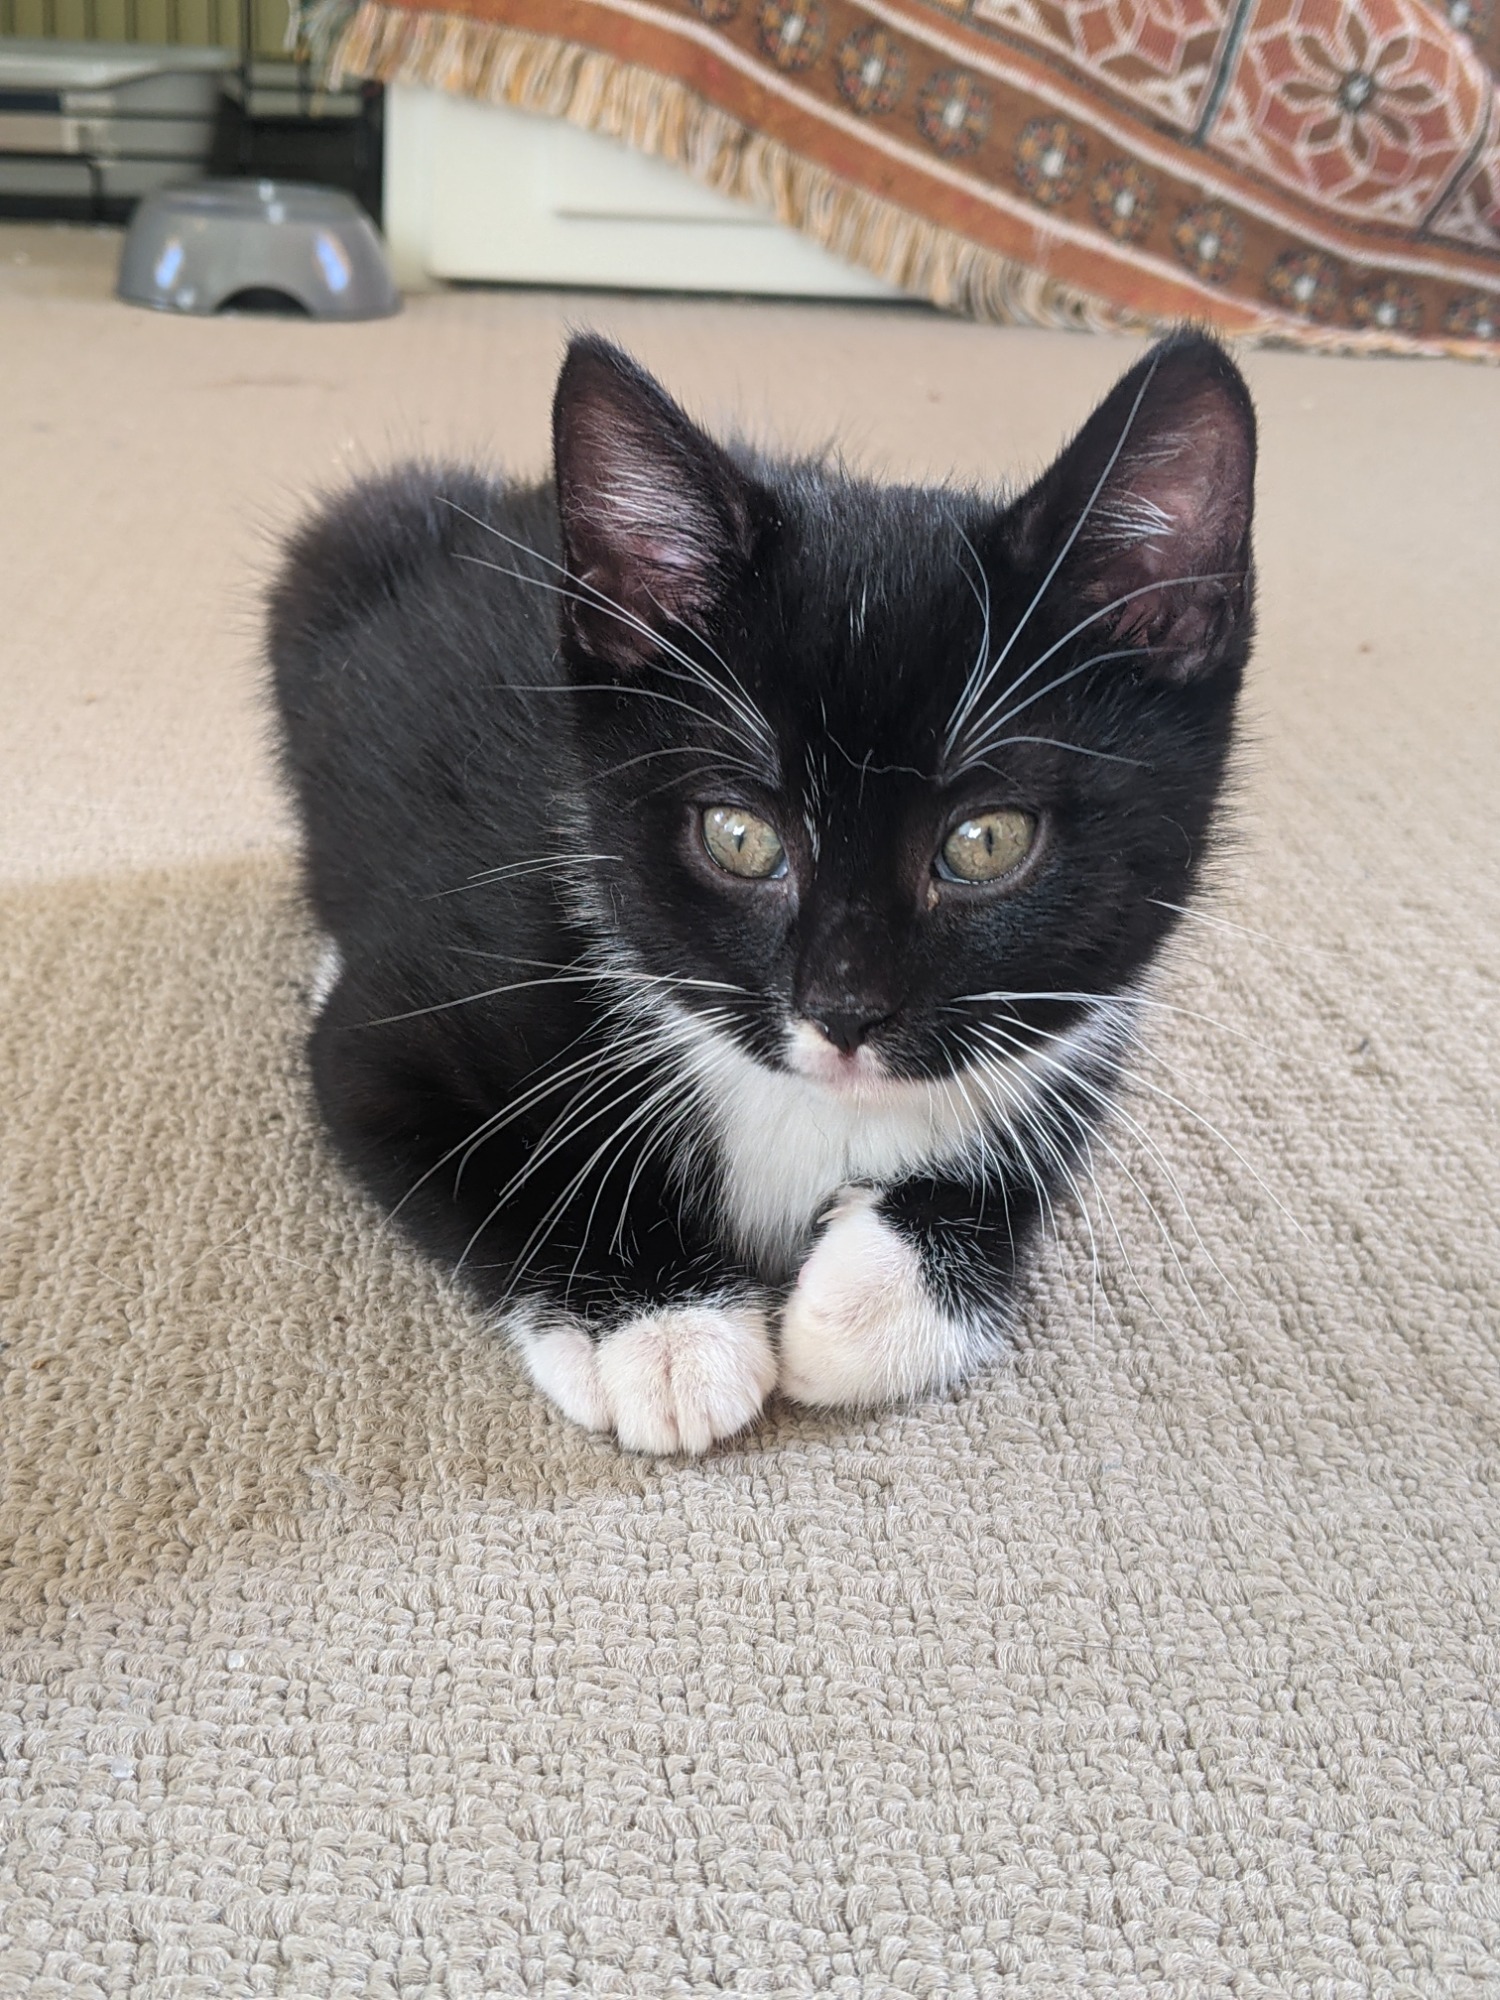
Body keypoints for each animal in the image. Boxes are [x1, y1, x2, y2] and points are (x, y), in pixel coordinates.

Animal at [268, 328, 1255, 1454]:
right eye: (740, 837)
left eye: (988, 840)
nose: (844, 1009)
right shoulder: (399, 1029)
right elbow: (484, 1152)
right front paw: (661, 1328)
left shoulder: (1085, 1024)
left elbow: (1025, 1162)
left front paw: (866, 1306)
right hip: (341, 545)